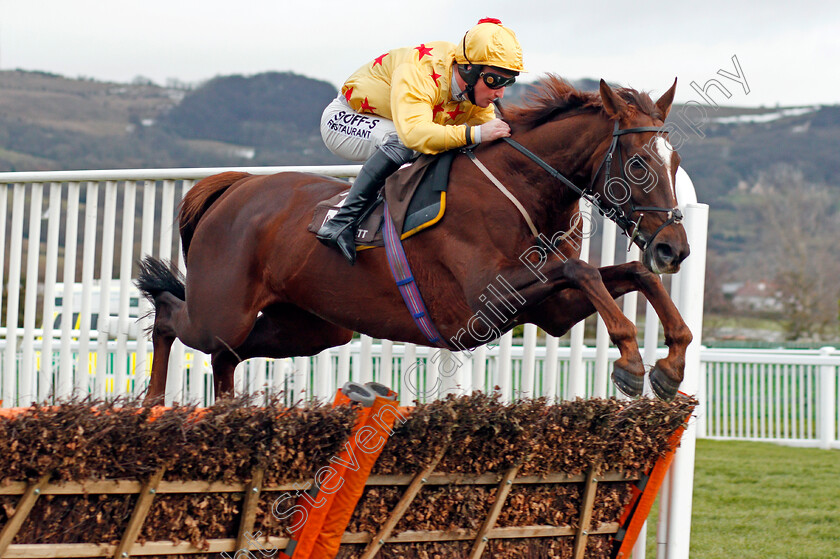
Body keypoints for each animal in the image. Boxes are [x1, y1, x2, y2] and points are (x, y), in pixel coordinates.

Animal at [136, 77, 688, 402]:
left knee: (227, 356)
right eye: (640, 164)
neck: (523, 188)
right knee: (171, 316)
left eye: (676, 161)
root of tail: (236, 186)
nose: (674, 249)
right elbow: (583, 268)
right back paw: (153, 406)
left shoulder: (548, 310)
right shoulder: (483, 298)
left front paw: (671, 364)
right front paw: (632, 362)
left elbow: (629, 274)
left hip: (311, 328)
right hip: (221, 310)